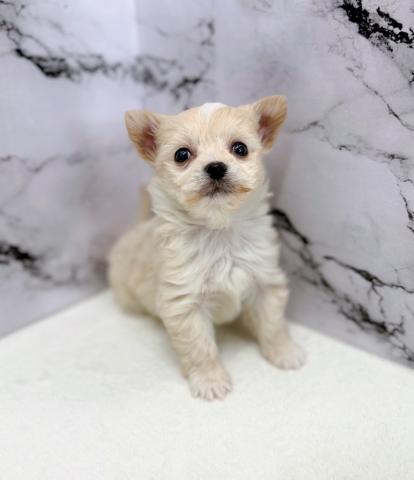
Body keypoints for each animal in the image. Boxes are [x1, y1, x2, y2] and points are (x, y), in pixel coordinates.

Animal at [108, 96, 305, 400]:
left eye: (240, 148)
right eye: (181, 155)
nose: (215, 167)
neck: (218, 231)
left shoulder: (265, 281)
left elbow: (273, 323)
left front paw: (283, 352)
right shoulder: (184, 304)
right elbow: (200, 347)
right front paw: (210, 380)